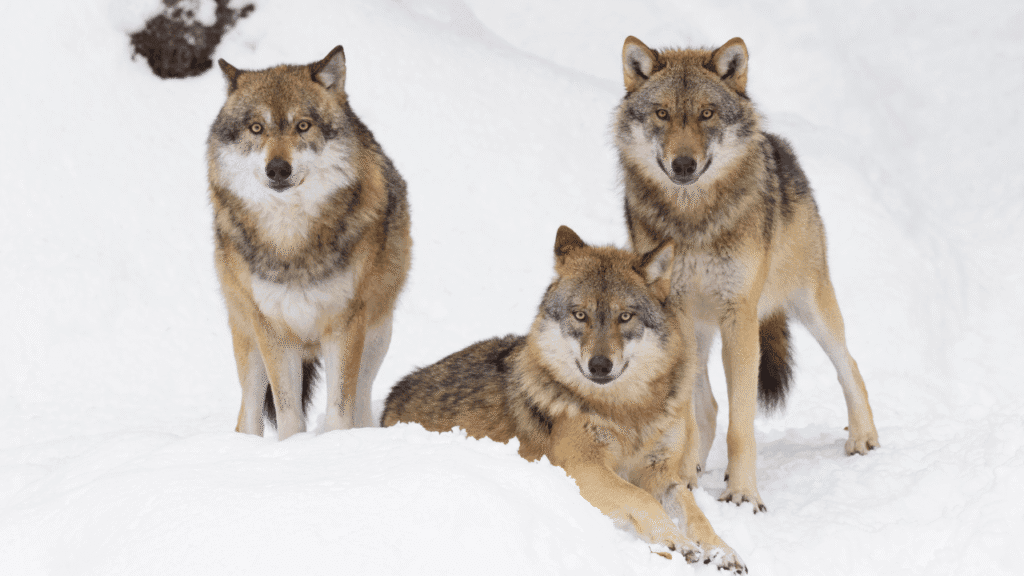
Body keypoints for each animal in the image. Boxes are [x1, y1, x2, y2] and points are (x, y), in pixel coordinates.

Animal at [207, 46, 411, 439]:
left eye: (303, 125)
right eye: (257, 127)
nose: (277, 169)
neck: (292, 241)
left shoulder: (345, 324)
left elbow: (339, 411)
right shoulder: (273, 330)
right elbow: (289, 415)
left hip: (377, 335)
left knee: (361, 401)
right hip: (248, 341)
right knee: (247, 416)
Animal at [382, 227, 746, 573]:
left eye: (625, 317)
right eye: (580, 315)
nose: (599, 365)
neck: (626, 410)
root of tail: (391, 398)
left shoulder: (660, 472)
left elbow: (695, 511)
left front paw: (722, 550)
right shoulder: (582, 468)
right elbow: (641, 498)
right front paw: (675, 542)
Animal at [614, 36, 880, 511]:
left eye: (707, 113)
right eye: (662, 114)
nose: (684, 164)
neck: (695, 221)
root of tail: (778, 145)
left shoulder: (740, 314)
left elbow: (742, 422)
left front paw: (742, 493)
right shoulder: (677, 312)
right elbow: (693, 416)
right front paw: (683, 479)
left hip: (809, 304)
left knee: (848, 363)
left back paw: (863, 438)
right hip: (698, 333)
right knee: (707, 408)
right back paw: (693, 467)